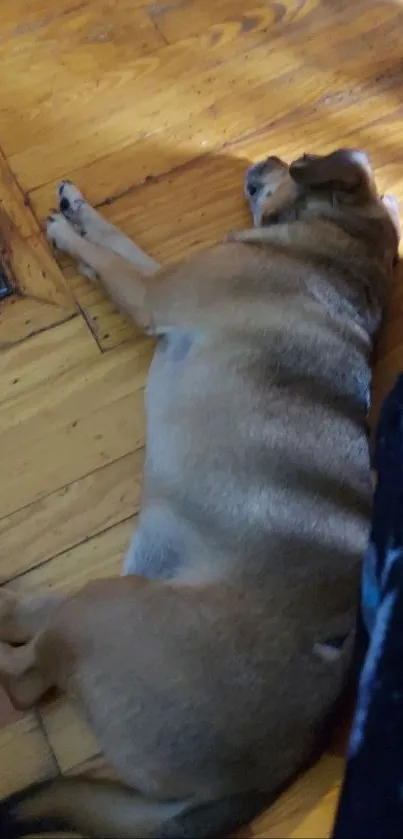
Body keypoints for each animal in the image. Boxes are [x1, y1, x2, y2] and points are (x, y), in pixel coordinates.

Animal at [0, 148, 400, 836]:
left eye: (295, 162)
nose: (270, 158)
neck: (336, 252)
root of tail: (252, 785)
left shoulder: (155, 291)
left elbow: (113, 260)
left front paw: (67, 236)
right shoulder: (162, 279)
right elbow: (118, 241)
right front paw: (76, 210)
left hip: (110, 610)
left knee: (25, 679)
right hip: (120, 598)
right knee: (35, 622)